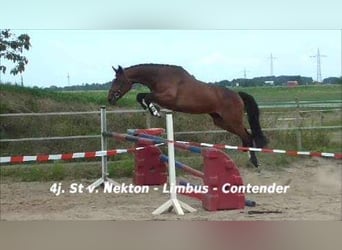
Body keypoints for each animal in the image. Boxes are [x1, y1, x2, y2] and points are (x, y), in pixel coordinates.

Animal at [108, 63, 268, 167]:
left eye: (117, 80)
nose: (110, 98)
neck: (160, 76)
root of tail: (237, 95)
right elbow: (141, 96)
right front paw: (150, 108)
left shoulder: (167, 97)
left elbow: (147, 97)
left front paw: (155, 111)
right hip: (221, 121)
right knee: (245, 136)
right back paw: (249, 157)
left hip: (232, 120)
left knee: (247, 136)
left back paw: (254, 161)